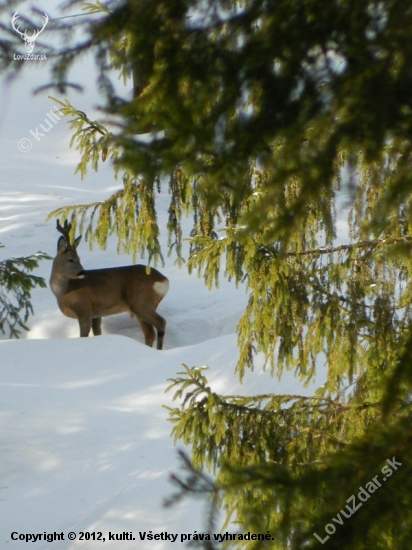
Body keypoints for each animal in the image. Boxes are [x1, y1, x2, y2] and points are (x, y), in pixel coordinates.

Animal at [50, 220, 169, 350]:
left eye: (78, 259)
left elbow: (84, 336)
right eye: (71, 259)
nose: (83, 272)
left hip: (140, 303)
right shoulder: (96, 314)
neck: (64, 291)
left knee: (161, 323)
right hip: (143, 307)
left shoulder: (84, 310)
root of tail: (164, 280)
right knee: (149, 334)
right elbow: (97, 333)